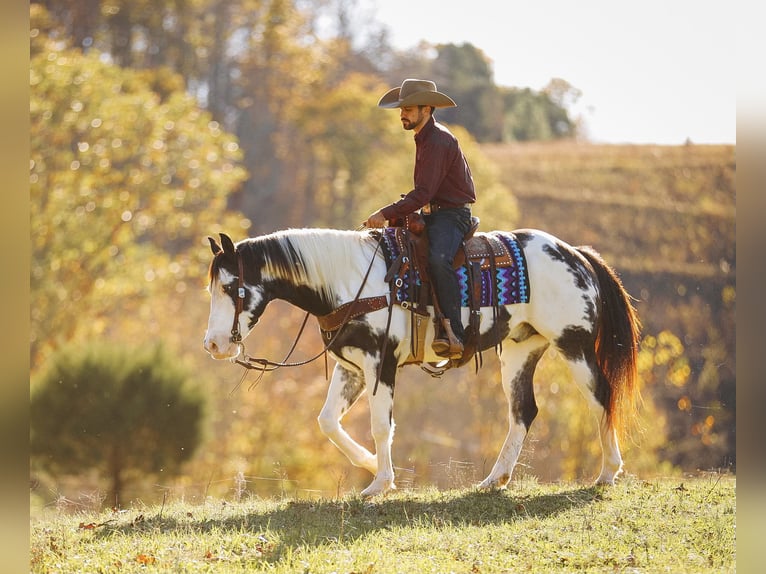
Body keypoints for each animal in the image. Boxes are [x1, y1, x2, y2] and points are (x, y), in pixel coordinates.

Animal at [201, 227, 640, 498]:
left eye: (231, 287)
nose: (213, 344)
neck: (350, 281)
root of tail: (576, 254)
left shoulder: (381, 364)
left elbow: (381, 426)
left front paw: (380, 482)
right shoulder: (353, 367)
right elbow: (327, 421)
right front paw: (368, 463)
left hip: (574, 343)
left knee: (601, 396)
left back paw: (608, 471)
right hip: (520, 349)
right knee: (523, 411)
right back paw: (495, 479)